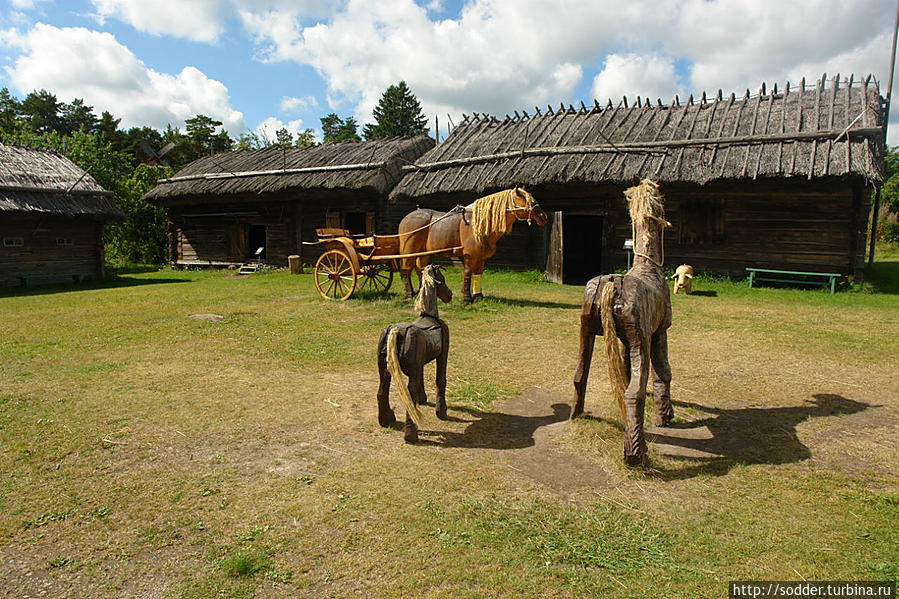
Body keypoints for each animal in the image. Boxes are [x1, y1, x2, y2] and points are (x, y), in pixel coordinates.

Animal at [400, 188, 548, 304]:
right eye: (526, 200)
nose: (543, 216)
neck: (478, 224)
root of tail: (405, 218)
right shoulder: (469, 255)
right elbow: (467, 273)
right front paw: (466, 298)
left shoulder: (481, 257)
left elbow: (478, 274)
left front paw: (478, 296)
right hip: (409, 251)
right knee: (406, 270)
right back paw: (409, 294)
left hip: (423, 253)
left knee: (420, 269)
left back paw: (422, 291)